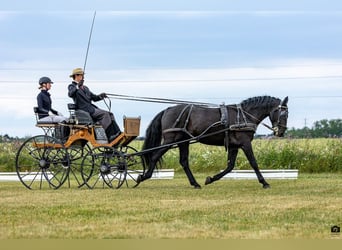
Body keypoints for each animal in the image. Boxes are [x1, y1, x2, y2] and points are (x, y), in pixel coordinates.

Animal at [136, 95, 288, 188]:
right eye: (283, 113)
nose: (281, 132)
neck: (244, 116)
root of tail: (167, 109)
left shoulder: (234, 146)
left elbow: (230, 166)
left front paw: (210, 179)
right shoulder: (245, 143)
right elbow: (253, 163)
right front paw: (264, 182)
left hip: (183, 141)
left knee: (183, 161)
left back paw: (195, 183)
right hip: (170, 139)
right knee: (155, 156)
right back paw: (143, 177)